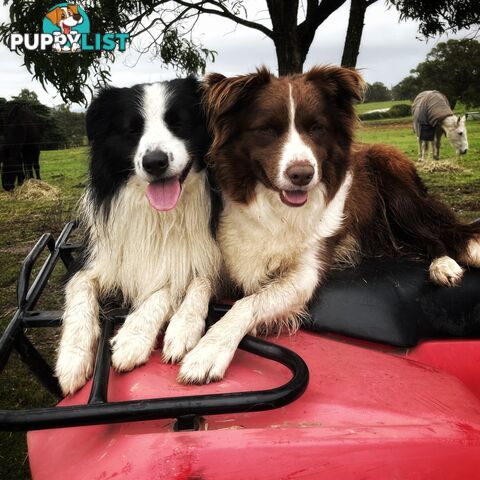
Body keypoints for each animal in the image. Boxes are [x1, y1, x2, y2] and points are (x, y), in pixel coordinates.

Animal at [55, 78, 221, 394]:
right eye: (132, 129)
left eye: (179, 122)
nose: (154, 162)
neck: (158, 215)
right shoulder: (92, 261)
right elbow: (79, 296)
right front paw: (72, 358)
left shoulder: (196, 255)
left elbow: (171, 285)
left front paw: (134, 337)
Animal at [178, 65, 480, 384]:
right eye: (267, 130)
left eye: (316, 128)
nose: (302, 174)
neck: (276, 210)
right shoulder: (227, 254)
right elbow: (199, 279)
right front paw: (182, 328)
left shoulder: (305, 274)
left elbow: (247, 302)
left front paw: (209, 350)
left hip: (398, 191)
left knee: (433, 232)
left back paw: (444, 264)